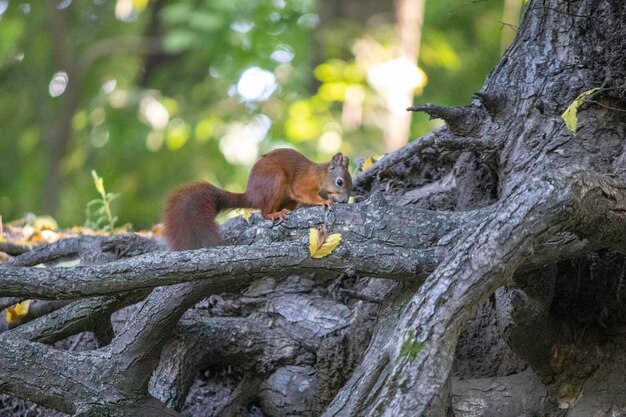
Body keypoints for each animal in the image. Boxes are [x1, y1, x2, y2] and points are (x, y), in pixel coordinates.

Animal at [162, 149, 352, 250]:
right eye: (339, 182)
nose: (344, 201)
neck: (320, 174)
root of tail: (251, 196)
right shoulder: (304, 181)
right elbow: (303, 192)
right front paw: (324, 201)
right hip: (274, 180)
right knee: (263, 212)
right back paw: (275, 214)